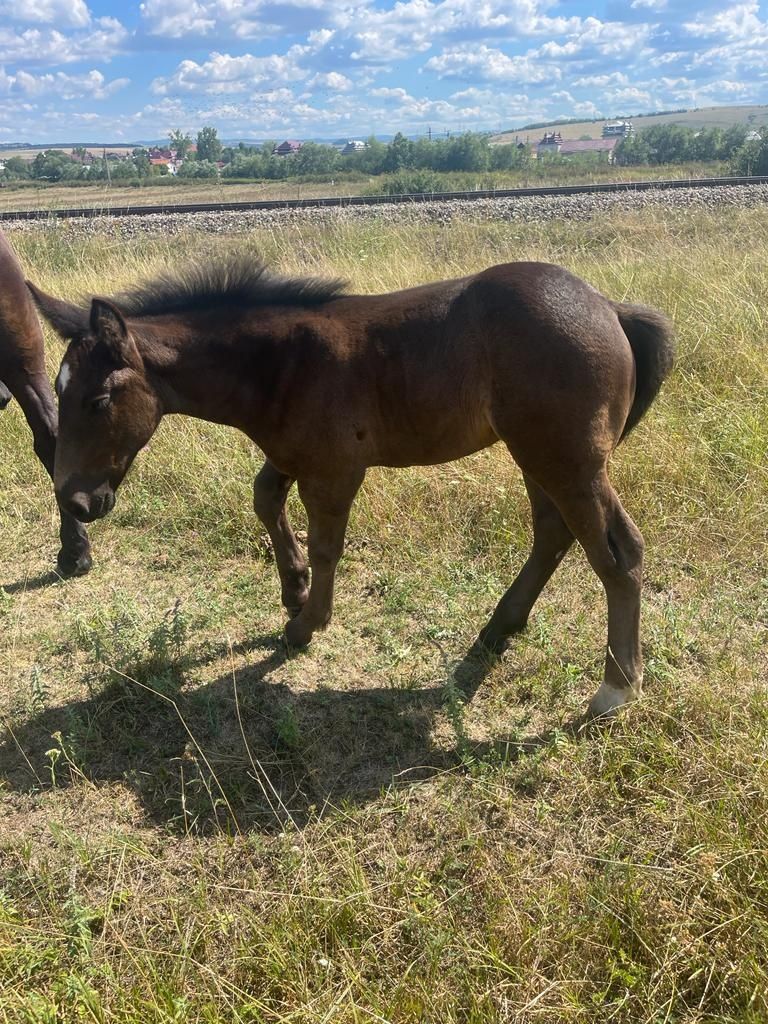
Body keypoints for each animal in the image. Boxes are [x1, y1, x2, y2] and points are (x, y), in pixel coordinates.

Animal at [28, 260, 671, 716]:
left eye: (98, 399)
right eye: (61, 392)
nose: (76, 500)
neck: (280, 362)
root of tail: (610, 307)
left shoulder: (335, 469)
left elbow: (326, 543)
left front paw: (305, 624)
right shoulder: (291, 452)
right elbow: (265, 498)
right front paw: (293, 589)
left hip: (566, 459)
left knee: (618, 552)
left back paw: (615, 688)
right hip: (536, 454)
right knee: (553, 532)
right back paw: (496, 632)